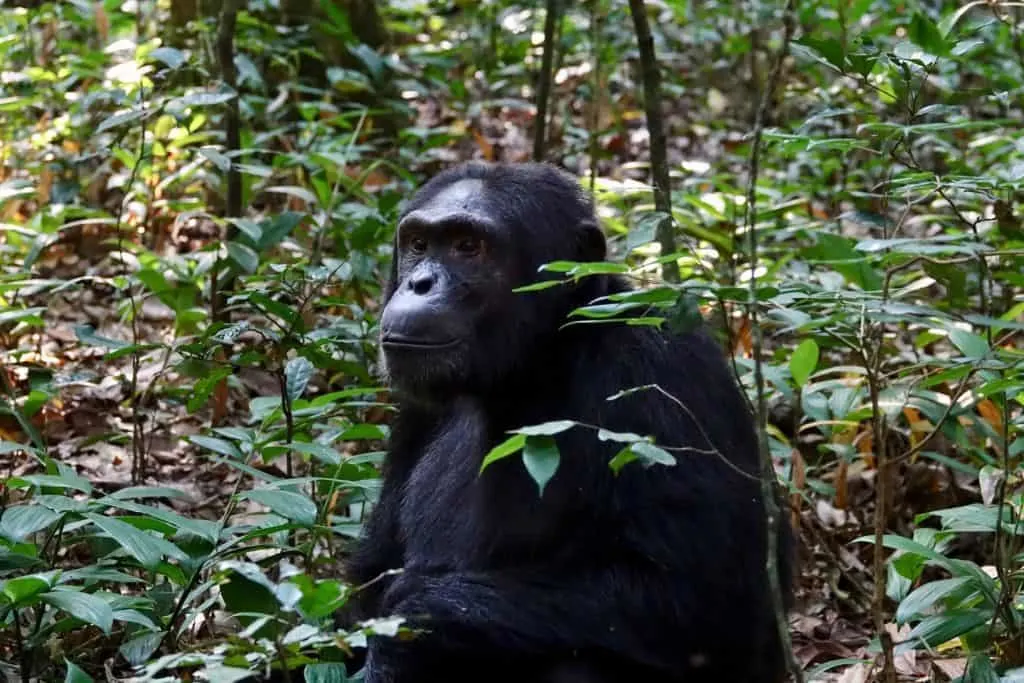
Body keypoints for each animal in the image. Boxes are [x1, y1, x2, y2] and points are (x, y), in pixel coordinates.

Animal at [344, 161, 790, 683]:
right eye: (418, 244)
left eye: (468, 246)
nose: (419, 284)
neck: (533, 364)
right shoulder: (416, 410)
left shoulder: (664, 376)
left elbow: (699, 598)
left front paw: (413, 621)